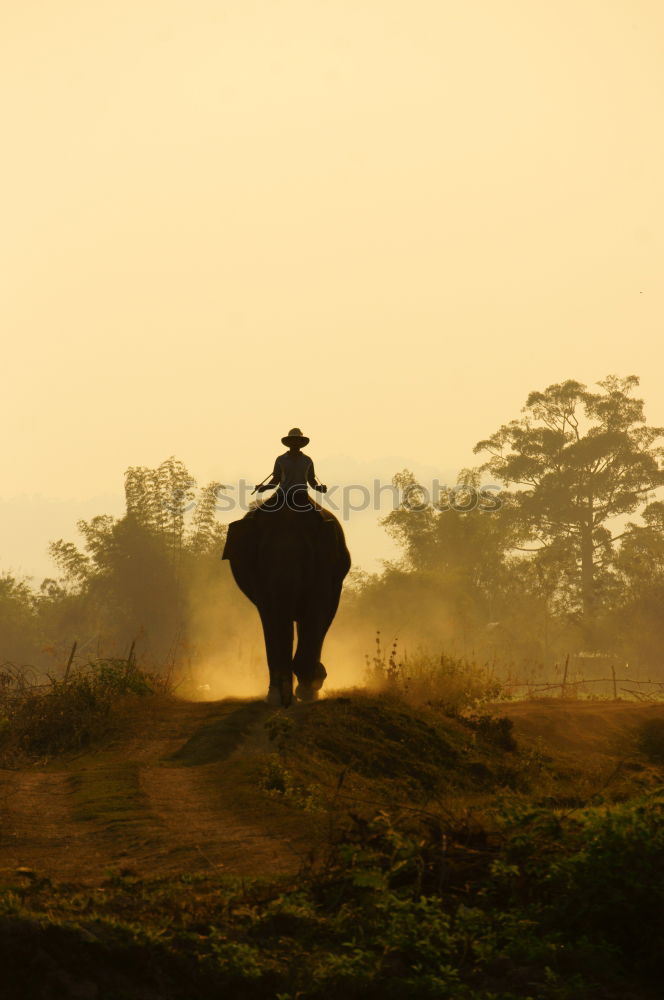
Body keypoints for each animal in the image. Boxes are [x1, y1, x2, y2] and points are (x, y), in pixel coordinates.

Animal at [222, 504, 352, 708]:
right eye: (263, 556)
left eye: (306, 554)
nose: (287, 699)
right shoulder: (258, 577)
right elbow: (269, 616)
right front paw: (276, 696)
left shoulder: (325, 565)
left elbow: (318, 610)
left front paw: (307, 689)